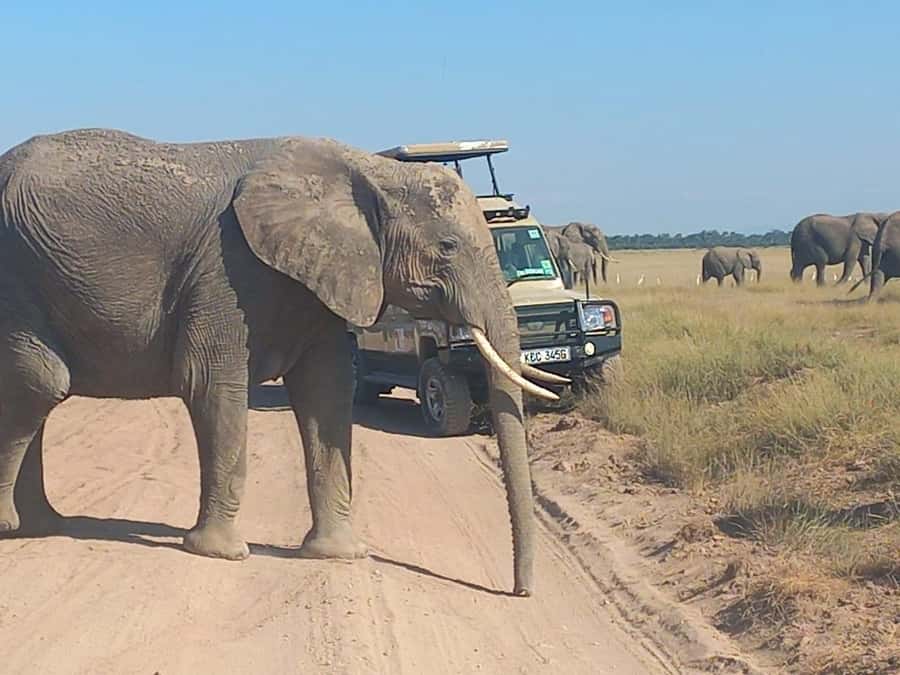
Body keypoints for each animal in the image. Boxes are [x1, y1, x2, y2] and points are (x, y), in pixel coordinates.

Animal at [0, 128, 560, 596]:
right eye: (447, 247)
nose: (519, 592)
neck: (368, 169)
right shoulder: (225, 270)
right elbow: (210, 382)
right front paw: (222, 553)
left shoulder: (323, 279)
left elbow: (326, 391)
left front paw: (338, 555)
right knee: (41, 383)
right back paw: (14, 527)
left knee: (37, 392)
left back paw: (45, 527)